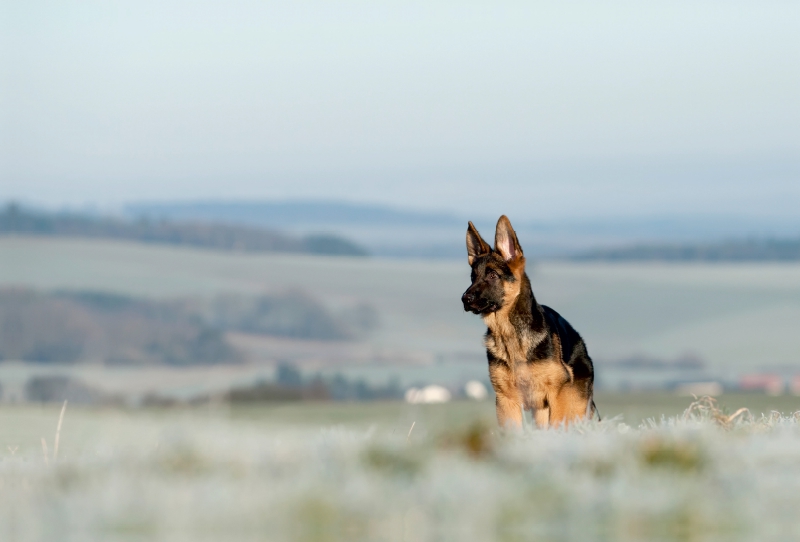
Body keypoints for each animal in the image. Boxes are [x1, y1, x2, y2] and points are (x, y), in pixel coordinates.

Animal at [462, 215, 592, 432]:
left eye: (492, 275)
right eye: (473, 277)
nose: (465, 299)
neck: (510, 335)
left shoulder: (557, 397)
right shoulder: (506, 401)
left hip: (574, 408)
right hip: (541, 412)